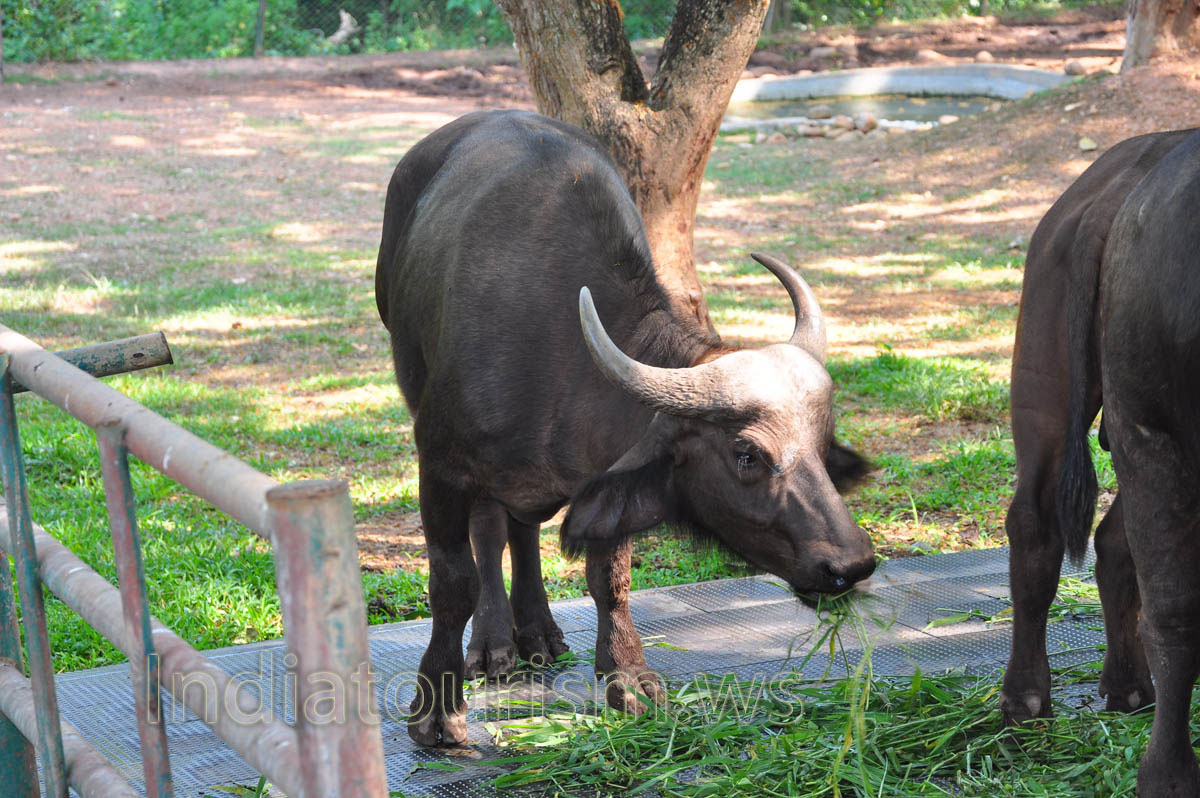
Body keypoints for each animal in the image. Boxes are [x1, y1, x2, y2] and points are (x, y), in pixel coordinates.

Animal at [375, 110, 875, 747]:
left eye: (820, 444)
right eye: (747, 455)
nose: (851, 567)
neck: (561, 356)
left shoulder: (603, 472)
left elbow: (609, 578)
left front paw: (627, 679)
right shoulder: (439, 462)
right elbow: (451, 582)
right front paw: (437, 712)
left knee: (522, 528)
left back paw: (537, 632)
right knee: (490, 529)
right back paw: (494, 643)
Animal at [1001, 127, 1200, 795]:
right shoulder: (1155, 433)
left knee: (1109, 540)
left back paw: (1127, 687)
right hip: (1063, 394)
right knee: (1037, 526)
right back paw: (1028, 702)